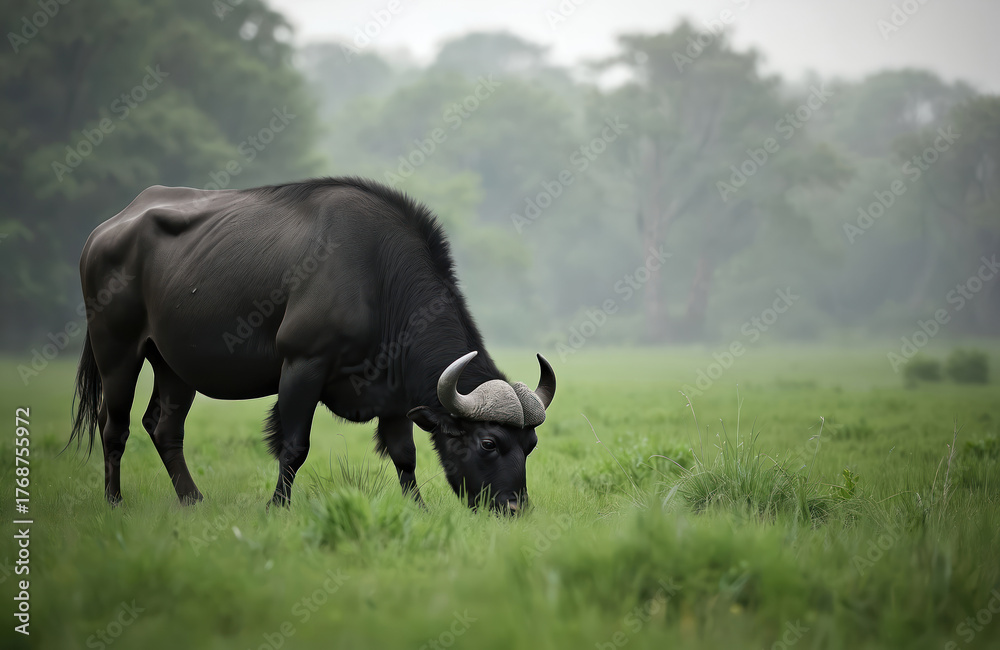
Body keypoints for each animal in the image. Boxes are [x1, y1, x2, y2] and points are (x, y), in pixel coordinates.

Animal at [68, 177, 556, 513]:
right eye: (489, 443)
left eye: (530, 445)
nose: (515, 508)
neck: (378, 278)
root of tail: (104, 232)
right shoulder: (303, 365)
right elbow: (294, 445)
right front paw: (276, 506)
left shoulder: (393, 395)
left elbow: (405, 455)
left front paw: (418, 508)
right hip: (117, 351)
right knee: (114, 426)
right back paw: (114, 501)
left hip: (175, 366)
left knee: (164, 428)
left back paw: (192, 500)